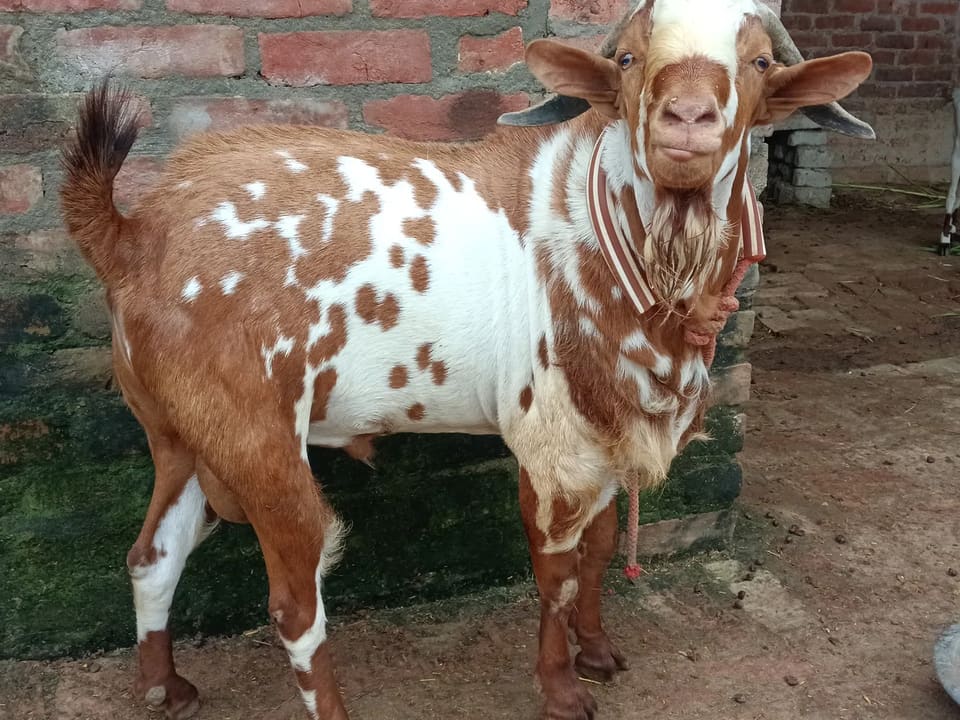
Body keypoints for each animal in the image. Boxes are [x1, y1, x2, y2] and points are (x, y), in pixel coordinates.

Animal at [60, 1, 873, 718]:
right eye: (628, 59)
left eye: (760, 62)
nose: (688, 119)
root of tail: (132, 233)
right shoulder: (550, 440)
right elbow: (557, 573)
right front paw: (563, 691)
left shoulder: (603, 427)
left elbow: (602, 545)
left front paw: (598, 651)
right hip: (255, 436)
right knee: (294, 603)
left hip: (182, 433)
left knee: (152, 554)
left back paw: (167, 688)